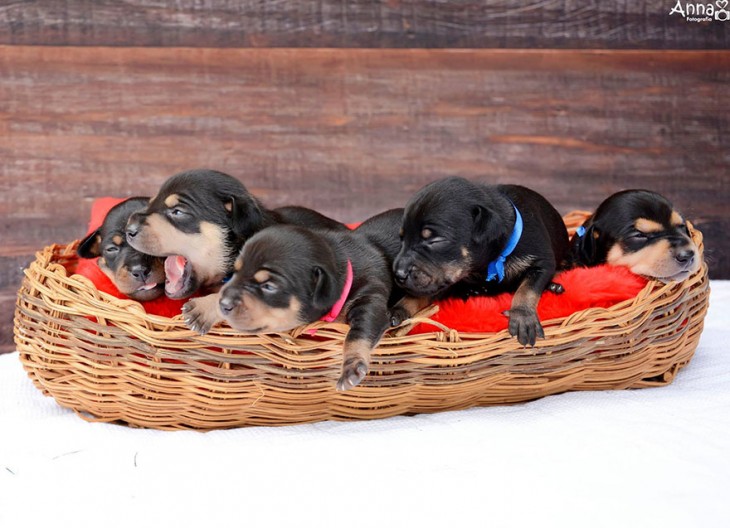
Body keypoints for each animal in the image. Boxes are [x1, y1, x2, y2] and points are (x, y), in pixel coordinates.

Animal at [185, 223, 396, 392]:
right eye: (235, 273)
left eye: (269, 287)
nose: (224, 305)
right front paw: (204, 306)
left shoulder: (370, 298)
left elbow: (357, 335)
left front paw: (351, 367)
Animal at [392, 177, 568, 346]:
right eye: (402, 239)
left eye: (435, 241)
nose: (398, 274)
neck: (488, 263)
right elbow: (419, 294)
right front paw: (399, 309)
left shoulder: (542, 261)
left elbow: (527, 289)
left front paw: (522, 316)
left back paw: (554, 286)